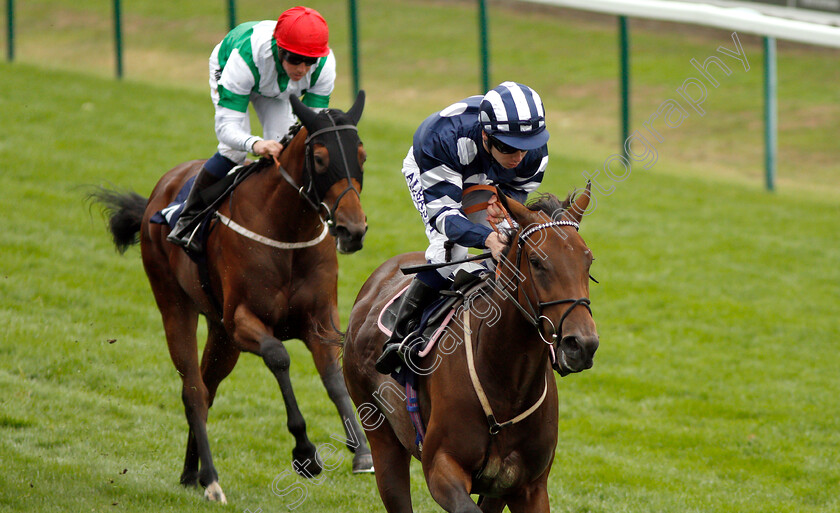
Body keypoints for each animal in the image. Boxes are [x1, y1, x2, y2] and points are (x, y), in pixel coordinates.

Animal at [89, 91, 374, 500]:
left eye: (361, 156)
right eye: (320, 158)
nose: (353, 230)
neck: (287, 231)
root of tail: (159, 192)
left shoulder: (318, 321)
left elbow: (334, 378)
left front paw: (361, 450)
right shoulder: (241, 320)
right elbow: (278, 356)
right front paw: (305, 452)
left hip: (220, 335)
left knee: (207, 390)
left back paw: (191, 474)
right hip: (176, 306)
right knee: (193, 392)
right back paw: (210, 479)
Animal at [342, 185, 596, 512]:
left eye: (588, 261)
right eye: (537, 261)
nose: (583, 344)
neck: (507, 385)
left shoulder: (527, 487)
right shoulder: (441, 468)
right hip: (382, 438)